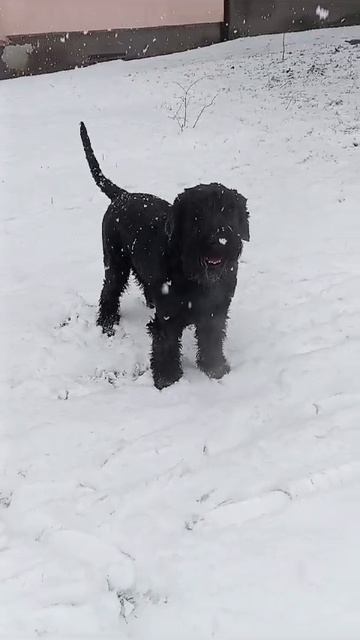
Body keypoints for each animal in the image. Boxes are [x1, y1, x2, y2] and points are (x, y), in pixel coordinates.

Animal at [80, 122, 249, 388]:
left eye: (230, 211)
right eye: (197, 213)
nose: (219, 240)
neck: (194, 275)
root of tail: (121, 195)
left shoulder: (215, 311)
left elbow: (211, 339)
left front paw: (215, 368)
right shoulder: (168, 318)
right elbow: (166, 344)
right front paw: (167, 379)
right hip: (115, 264)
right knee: (109, 291)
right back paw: (107, 323)